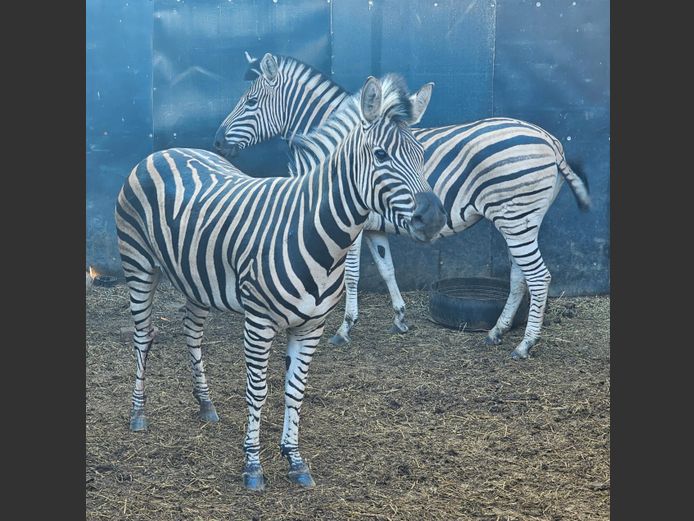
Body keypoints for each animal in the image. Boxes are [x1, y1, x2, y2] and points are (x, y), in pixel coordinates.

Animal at [116, 75, 445, 491]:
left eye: (421, 153)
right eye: (382, 155)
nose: (433, 218)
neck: (313, 231)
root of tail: (164, 151)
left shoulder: (311, 325)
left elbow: (295, 390)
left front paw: (294, 458)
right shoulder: (258, 322)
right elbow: (257, 391)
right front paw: (253, 466)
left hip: (198, 278)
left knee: (192, 332)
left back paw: (205, 403)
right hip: (138, 264)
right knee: (144, 335)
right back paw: (138, 414)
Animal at [214, 52, 591, 360]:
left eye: (250, 101)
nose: (216, 141)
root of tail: (551, 141)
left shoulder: (349, 228)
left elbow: (352, 276)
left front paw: (344, 328)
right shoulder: (373, 227)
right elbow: (387, 270)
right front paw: (400, 318)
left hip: (516, 217)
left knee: (538, 277)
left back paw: (524, 345)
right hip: (522, 219)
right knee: (519, 277)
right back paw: (497, 331)